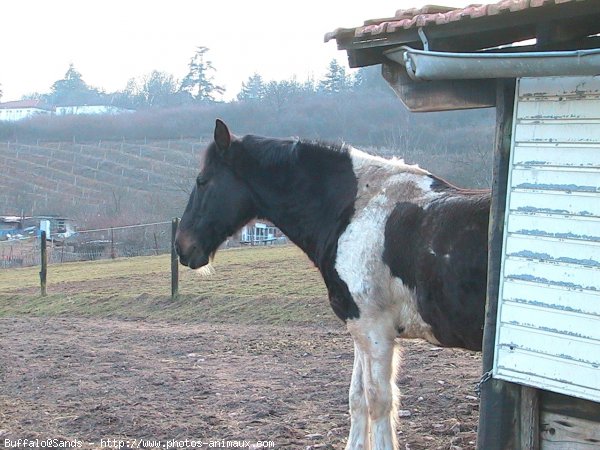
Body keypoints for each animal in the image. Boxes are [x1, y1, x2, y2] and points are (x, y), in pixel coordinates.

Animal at [176, 119, 490, 450]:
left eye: (203, 181)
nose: (182, 246)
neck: (355, 211)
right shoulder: (359, 328)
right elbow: (357, 398)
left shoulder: (376, 331)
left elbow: (378, 401)